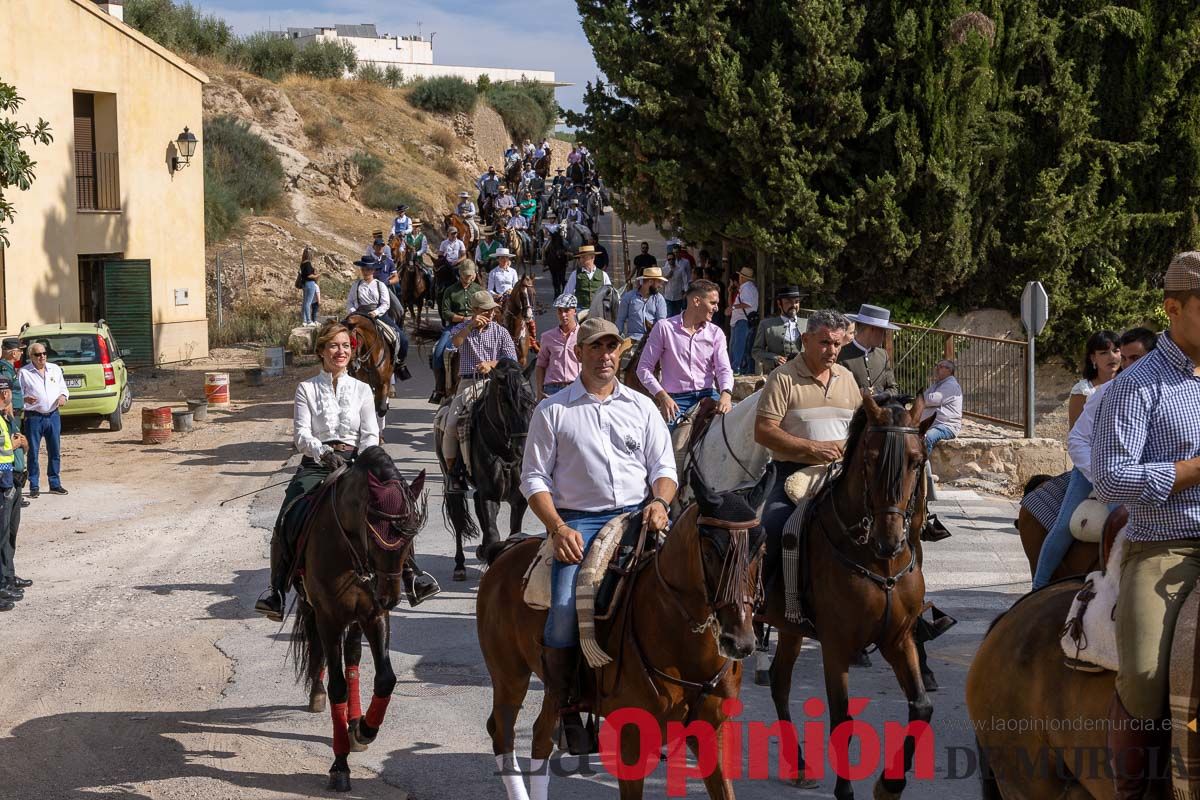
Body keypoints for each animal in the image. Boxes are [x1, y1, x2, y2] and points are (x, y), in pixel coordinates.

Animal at [285, 448, 427, 791]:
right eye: (375, 535)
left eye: (410, 538)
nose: (390, 597)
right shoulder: (329, 618)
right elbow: (336, 684)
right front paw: (340, 764)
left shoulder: (373, 615)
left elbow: (386, 678)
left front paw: (364, 729)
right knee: (324, 655)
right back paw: (320, 696)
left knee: (352, 657)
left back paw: (353, 721)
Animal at [441, 362, 535, 582]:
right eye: (505, 402)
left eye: (530, 400)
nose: (523, 448)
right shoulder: (490, 495)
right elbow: (493, 534)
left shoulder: (518, 499)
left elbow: (514, 534)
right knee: (458, 522)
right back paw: (460, 566)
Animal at [472, 470, 772, 800]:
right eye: (709, 551)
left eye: (761, 550)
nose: (740, 641)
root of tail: (505, 551)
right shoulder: (632, 736)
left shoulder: (712, 730)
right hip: (509, 675)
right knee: (504, 731)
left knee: (539, 737)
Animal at [758, 393, 936, 800]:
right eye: (870, 459)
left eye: (916, 461)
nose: (889, 540)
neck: (878, 561)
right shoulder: (836, 644)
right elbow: (842, 718)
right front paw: (846, 790)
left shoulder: (898, 639)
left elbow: (921, 707)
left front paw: (889, 784)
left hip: (789, 628)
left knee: (778, 681)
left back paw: (800, 764)